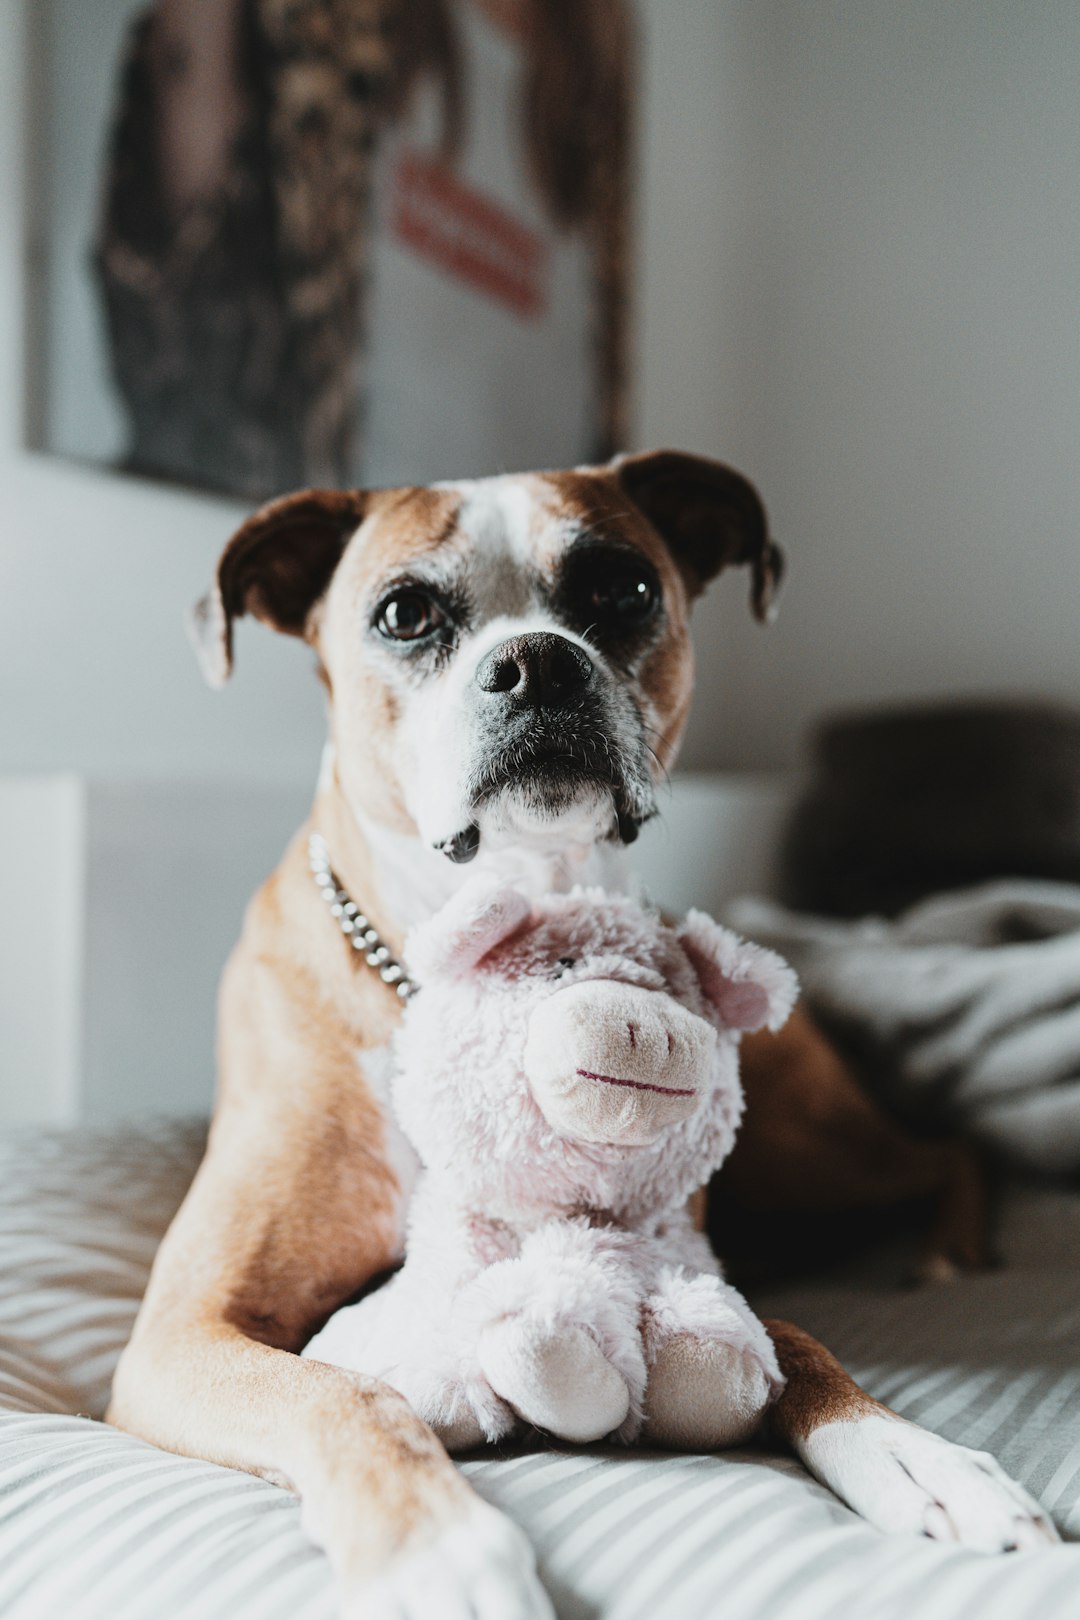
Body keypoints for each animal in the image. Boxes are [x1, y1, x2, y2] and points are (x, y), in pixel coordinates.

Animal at [107, 447, 1055, 1620]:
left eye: (627, 589)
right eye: (405, 613)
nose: (537, 667)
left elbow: (794, 1338)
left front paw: (913, 1455)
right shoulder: (183, 1333)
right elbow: (346, 1394)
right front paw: (438, 1550)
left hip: (804, 1142)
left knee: (950, 1148)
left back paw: (950, 1255)